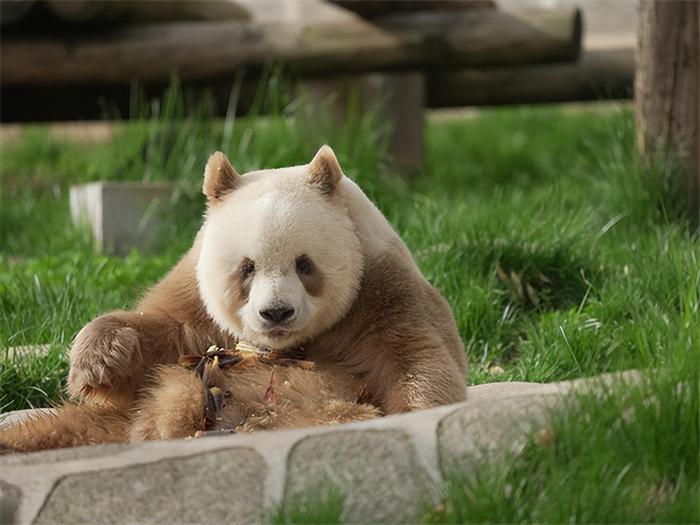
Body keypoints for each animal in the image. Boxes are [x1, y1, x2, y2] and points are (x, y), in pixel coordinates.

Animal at [2, 146, 470, 450]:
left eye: (304, 264)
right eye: (246, 267)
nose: (276, 313)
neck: (281, 347)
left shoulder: (380, 290)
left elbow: (412, 357)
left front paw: (417, 414)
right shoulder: (196, 294)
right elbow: (166, 333)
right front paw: (97, 359)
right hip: (112, 422)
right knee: (64, 428)